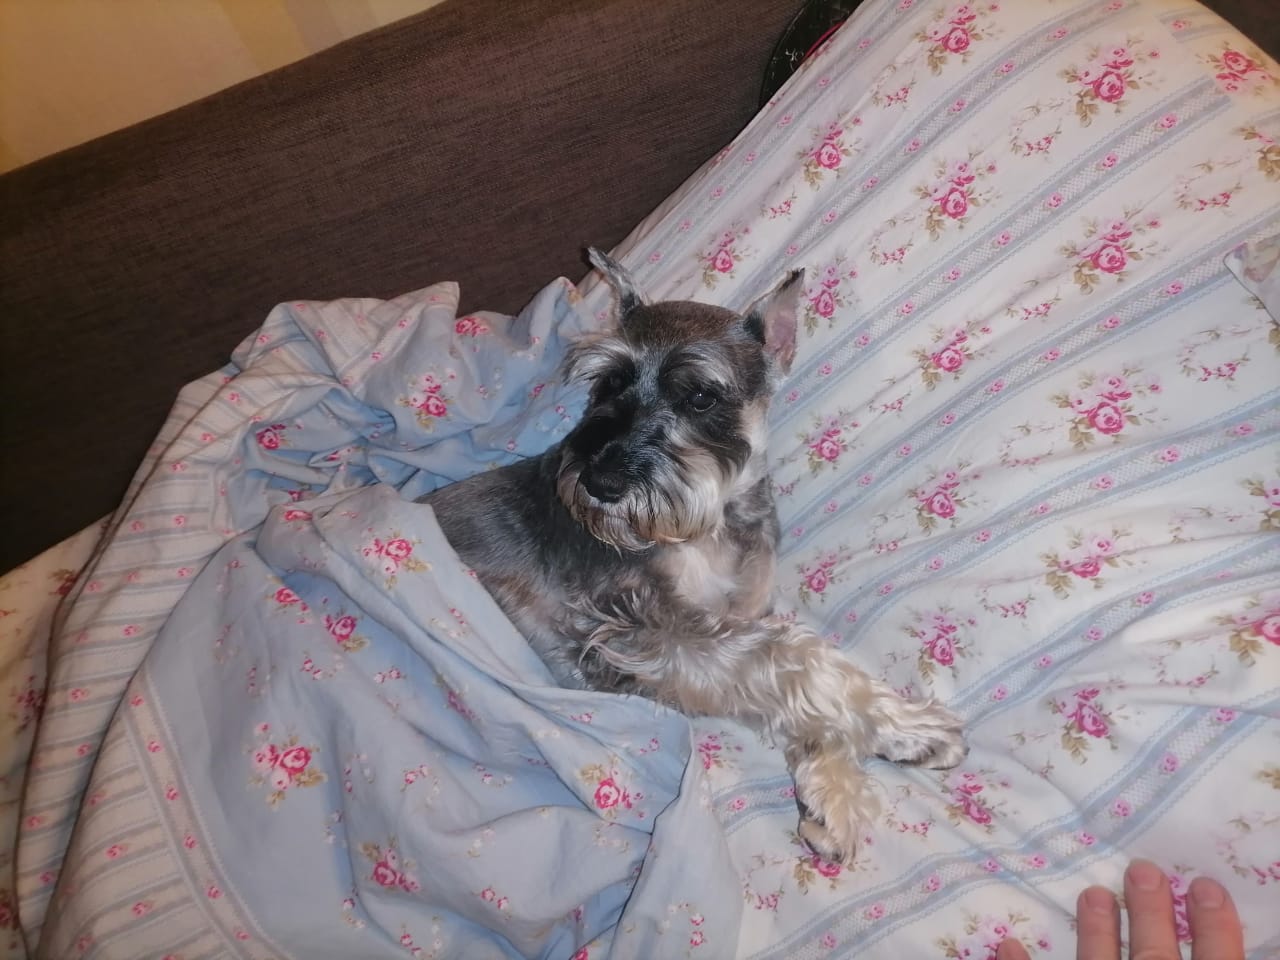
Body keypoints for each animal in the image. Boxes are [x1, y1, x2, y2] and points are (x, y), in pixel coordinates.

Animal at [421, 249, 967, 863]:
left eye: (701, 396)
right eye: (607, 382)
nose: (599, 482)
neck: (709, 528)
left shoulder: (734, 616)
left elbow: (780, 674)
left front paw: (833, 794)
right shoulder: (628, 629)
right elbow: (788, 657)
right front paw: (913, 731)